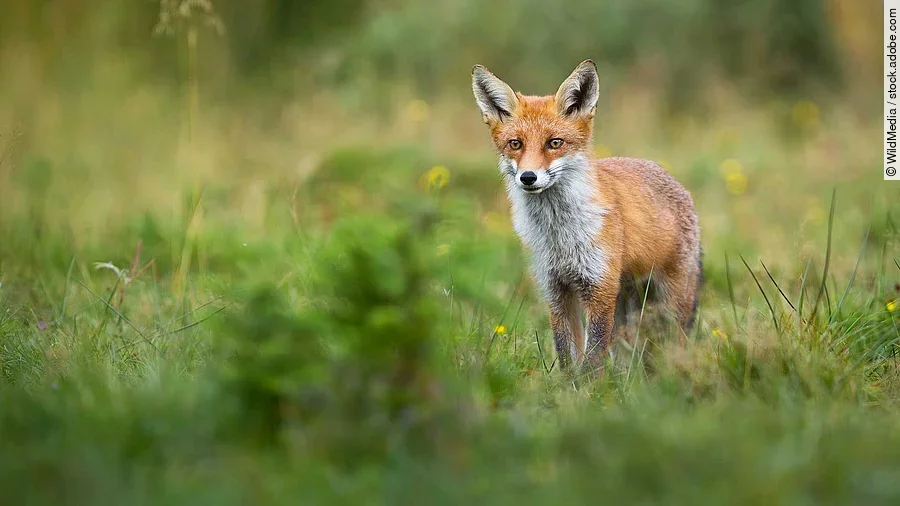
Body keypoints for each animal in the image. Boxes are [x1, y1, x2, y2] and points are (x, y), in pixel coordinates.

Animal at [470, 59, 703, 374]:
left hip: (670, 299)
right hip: (624, 302)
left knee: (674, 341)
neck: (559, 235)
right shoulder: (555, 288)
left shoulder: (598, 286)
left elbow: (592, 357)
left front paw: (592, 387)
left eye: (554, 143)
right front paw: (568, 387)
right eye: (515, 144)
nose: (528, 177)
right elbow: (566, 353)